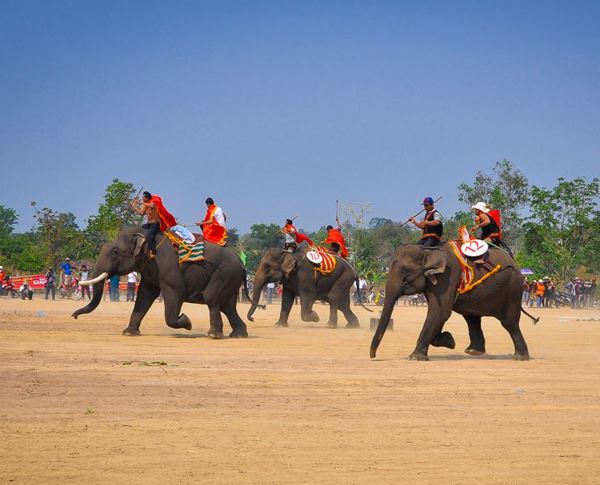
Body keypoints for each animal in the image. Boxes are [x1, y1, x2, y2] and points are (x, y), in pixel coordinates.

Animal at [73, 226, 251, 336]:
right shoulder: (149, 270)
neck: (146, 236)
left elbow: (175, 291)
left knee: (212, 298)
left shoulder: (168, 268)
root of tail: (242, 265)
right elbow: (145, 295)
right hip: (231, 278)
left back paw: (214, 335)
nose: (74, 316)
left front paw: (187, 322)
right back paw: (238, 334)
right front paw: (129, 333)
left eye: (115, 251)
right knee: (227, 306)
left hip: (225, 272)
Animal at [368, 242, 532, 360]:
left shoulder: (448, 276)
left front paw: (414, 357)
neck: (428, 250)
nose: (373, 356)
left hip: (513, 290)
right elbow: (439, 314)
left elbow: (440, 312)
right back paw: (474, 351)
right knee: (472, 318)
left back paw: (520, 357)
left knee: (509, 322)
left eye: (405, 271)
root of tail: (515, 263)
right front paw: (450, 341)